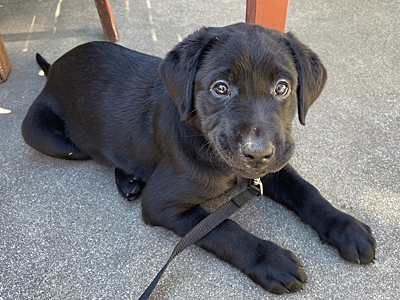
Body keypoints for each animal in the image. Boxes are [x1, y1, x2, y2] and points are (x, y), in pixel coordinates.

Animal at [22, 22, 376, 292]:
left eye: (282, 88)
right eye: (220, 88)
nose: (256, 153)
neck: (208, 147)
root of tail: (53, 68)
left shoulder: (274, 161)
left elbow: (305, 189)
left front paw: (346, 227)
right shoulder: (161, 204)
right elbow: (220, 228)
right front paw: (271, 260)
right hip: (51, 139)